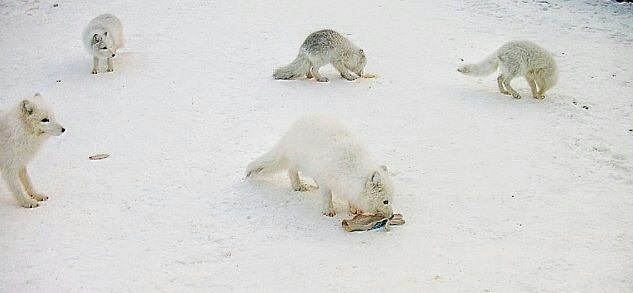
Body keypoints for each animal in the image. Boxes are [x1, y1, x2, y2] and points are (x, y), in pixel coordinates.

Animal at [246, 114, 390, 217]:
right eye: (386, 201)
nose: (392, 216)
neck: (351, 168)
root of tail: (289, 133)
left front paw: (355, 208)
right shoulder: (327, 180)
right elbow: (327, 196)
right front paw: (328, 211)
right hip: (299, 161)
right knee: (291, 170)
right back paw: (297, 186)